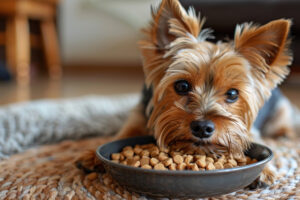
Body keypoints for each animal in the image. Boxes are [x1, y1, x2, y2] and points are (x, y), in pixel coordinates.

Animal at [77, 0, 298, 188]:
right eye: (182, 86)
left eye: (233, 94)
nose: (202, 127)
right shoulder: (138, 115)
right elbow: (126, 133)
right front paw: (92, 155)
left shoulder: (246, 129)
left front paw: (265, 170)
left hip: (281, 107)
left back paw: (285, 132)